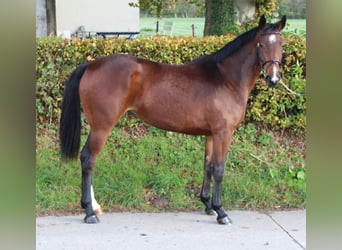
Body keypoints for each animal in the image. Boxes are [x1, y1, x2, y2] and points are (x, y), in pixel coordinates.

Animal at [60, 16, 286, 226]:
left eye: (281, 44)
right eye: (261, 44)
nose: (273, 79)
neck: (225, 78)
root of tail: (91, 64)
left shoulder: (211, 134)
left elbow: (208, 166)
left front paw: (208, 205)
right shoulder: (224, 133)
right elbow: (219, 169)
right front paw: (221, 212)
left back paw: (95, 208)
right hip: (101, 127)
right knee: (88, 159)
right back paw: (90, 211)